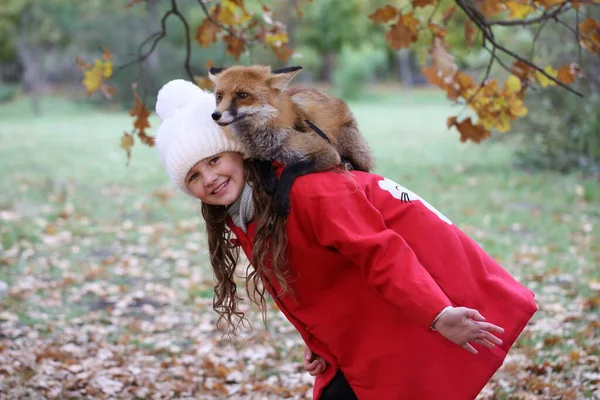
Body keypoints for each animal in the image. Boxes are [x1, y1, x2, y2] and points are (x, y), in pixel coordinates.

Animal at [209, 65, 372, 216]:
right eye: (219, 96)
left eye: (243, 95)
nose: (215, 115)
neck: (260, 140)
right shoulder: (253, 152)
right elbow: (257, 162)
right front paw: (268, 178)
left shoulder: (328, 153)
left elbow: (292, 168)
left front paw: (280, 197)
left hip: (350, 144)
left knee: (365, 168)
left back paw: (349, 164)